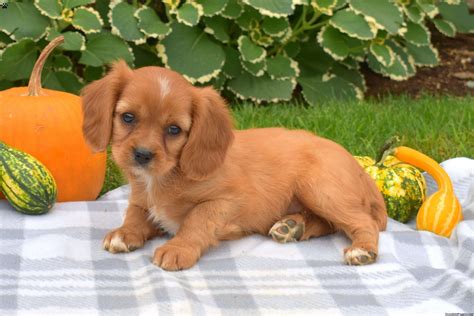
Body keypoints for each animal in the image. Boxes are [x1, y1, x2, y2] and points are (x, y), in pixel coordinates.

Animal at [80, 60, 386, 270]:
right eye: (128, 117)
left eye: (174, 130)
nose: (142, 155)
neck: (164, 178)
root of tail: (359, 167)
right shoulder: (141, 200)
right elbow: (135, 214)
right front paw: (125, 233)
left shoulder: (226, 201)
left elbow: (196, 221)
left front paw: (178, 248)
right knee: (330, 224)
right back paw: (292, 226)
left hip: (320, 189)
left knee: (362, 221)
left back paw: (361, 250)